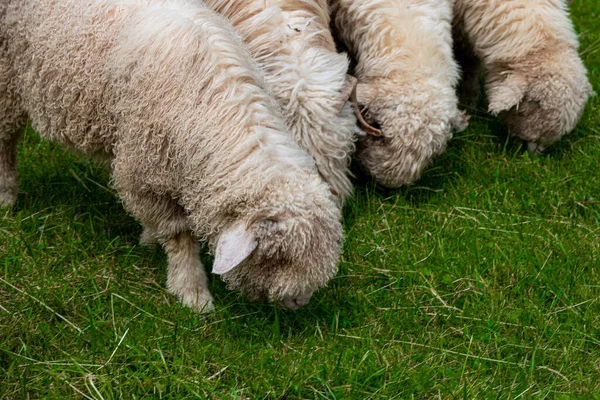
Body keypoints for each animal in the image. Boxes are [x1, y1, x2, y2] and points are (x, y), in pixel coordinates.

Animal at [0, 0, 342, 312]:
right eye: (275, 257)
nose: (300, 302)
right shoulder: (140, 169)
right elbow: (178, 234)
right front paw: (192, 291)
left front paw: (149, 239)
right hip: (7, 76)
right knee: (5, 143)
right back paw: (6, 198)